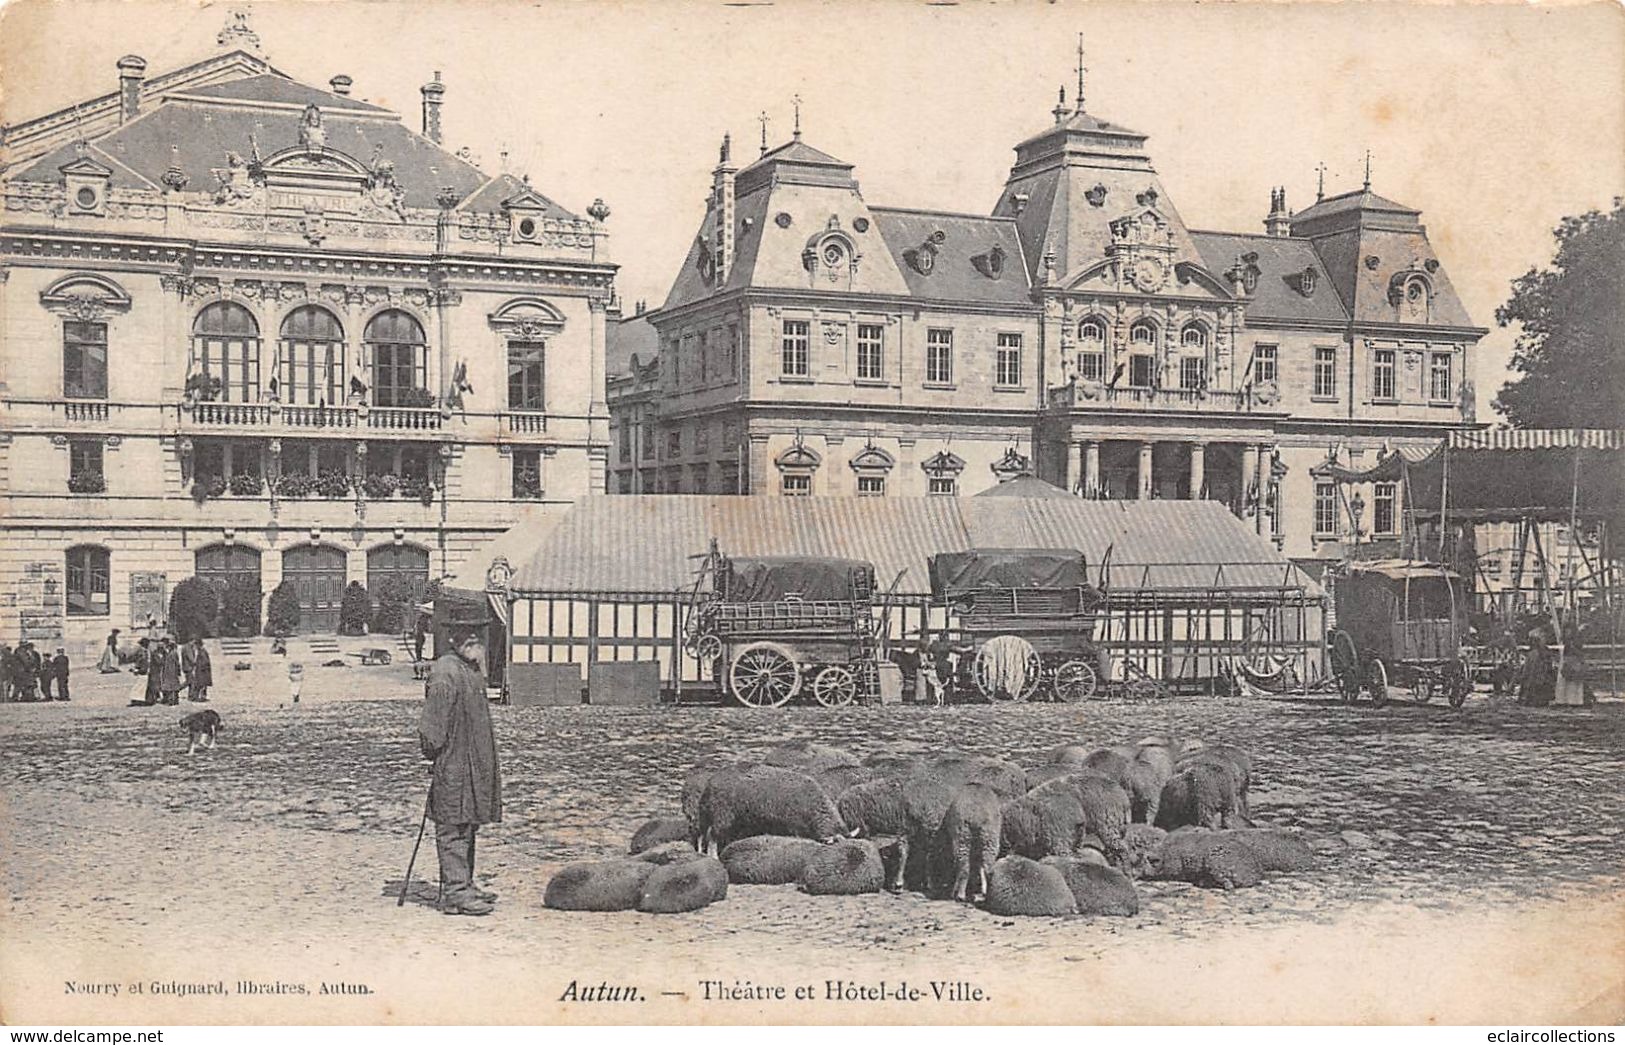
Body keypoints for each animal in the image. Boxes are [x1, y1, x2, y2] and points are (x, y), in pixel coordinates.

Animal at [695, 763, 851, 851]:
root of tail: (710, 784)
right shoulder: (791, 824)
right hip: (722, 816)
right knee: (712, 837)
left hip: (709, 816)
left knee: (701, 836)